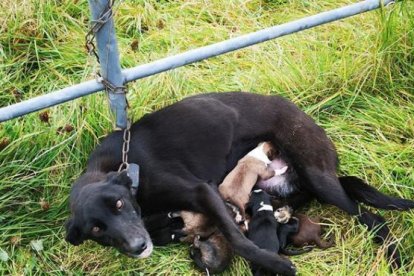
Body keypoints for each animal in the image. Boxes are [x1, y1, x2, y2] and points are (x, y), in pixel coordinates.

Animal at [64, 92, 414, 274]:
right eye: (97, 229)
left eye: (119, 203)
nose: (138, 247)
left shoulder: (201, 191)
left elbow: (237, 237)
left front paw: (273, 262)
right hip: (290, 190)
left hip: (319, 177)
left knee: (371, 217)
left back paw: (394, 257)